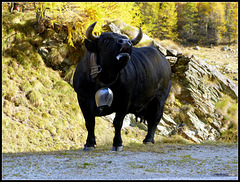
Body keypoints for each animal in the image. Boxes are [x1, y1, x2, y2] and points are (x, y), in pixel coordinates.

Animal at [73, 22, 172, 151]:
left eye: (125, 38)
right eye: (105, 40)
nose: (126, 42)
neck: (104, 78)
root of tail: (164, 62)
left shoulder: (124, 101)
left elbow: (118, 122)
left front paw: (117, 144)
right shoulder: (82, 100)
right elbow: (90, 123)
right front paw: (89, 144)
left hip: (159, 99)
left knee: (154, 118)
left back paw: (148, 140)